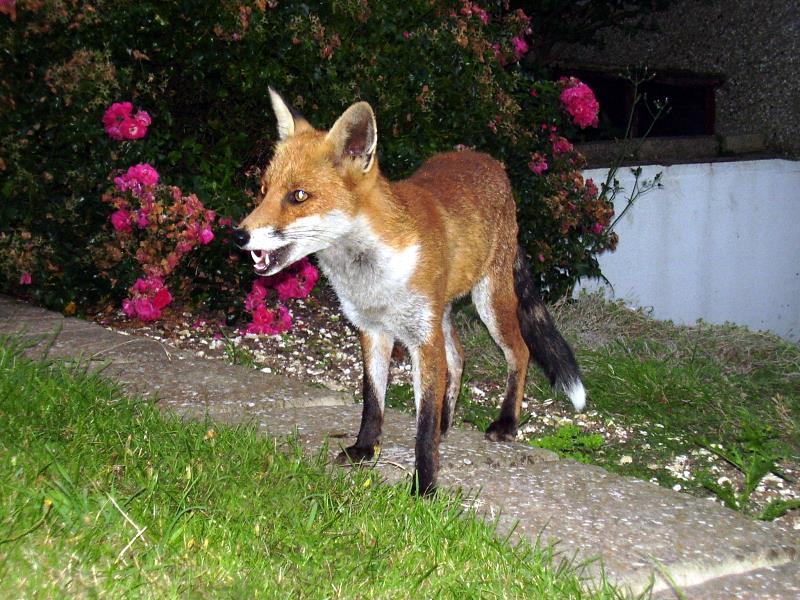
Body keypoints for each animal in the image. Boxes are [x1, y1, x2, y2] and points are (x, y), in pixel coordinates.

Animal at [234, 88, 586, 495]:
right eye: (263, 191)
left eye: (299, 195)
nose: (238, 235)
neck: (371, 276)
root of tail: (487, 160)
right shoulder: (373, 331)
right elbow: (373, 400)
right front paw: (364, 450)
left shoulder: (422, 339)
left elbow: (422, 424)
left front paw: (426, 485)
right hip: (442, 311)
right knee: (458, 357)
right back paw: (448, 422)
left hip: (488, 302)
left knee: (520, 352)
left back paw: (506, 423)